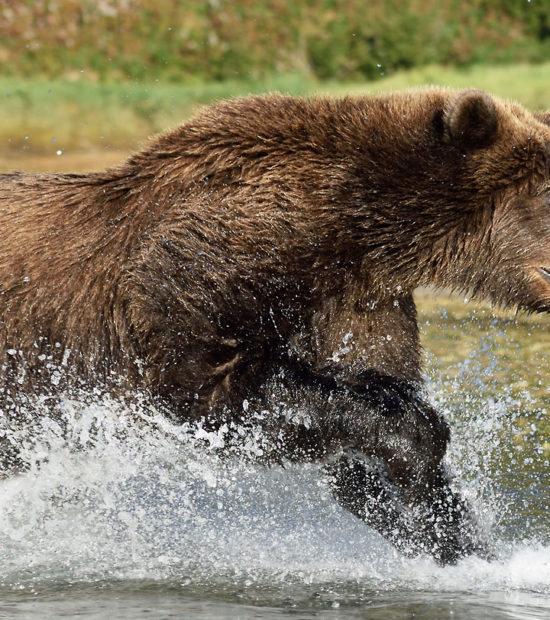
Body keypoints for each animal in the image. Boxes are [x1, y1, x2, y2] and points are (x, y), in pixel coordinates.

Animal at [1, 88, 550, 568]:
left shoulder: (356, 303)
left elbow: (358, 423)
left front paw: (460, 541)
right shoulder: (201, 266)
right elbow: (214, 386)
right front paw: (420, 460)